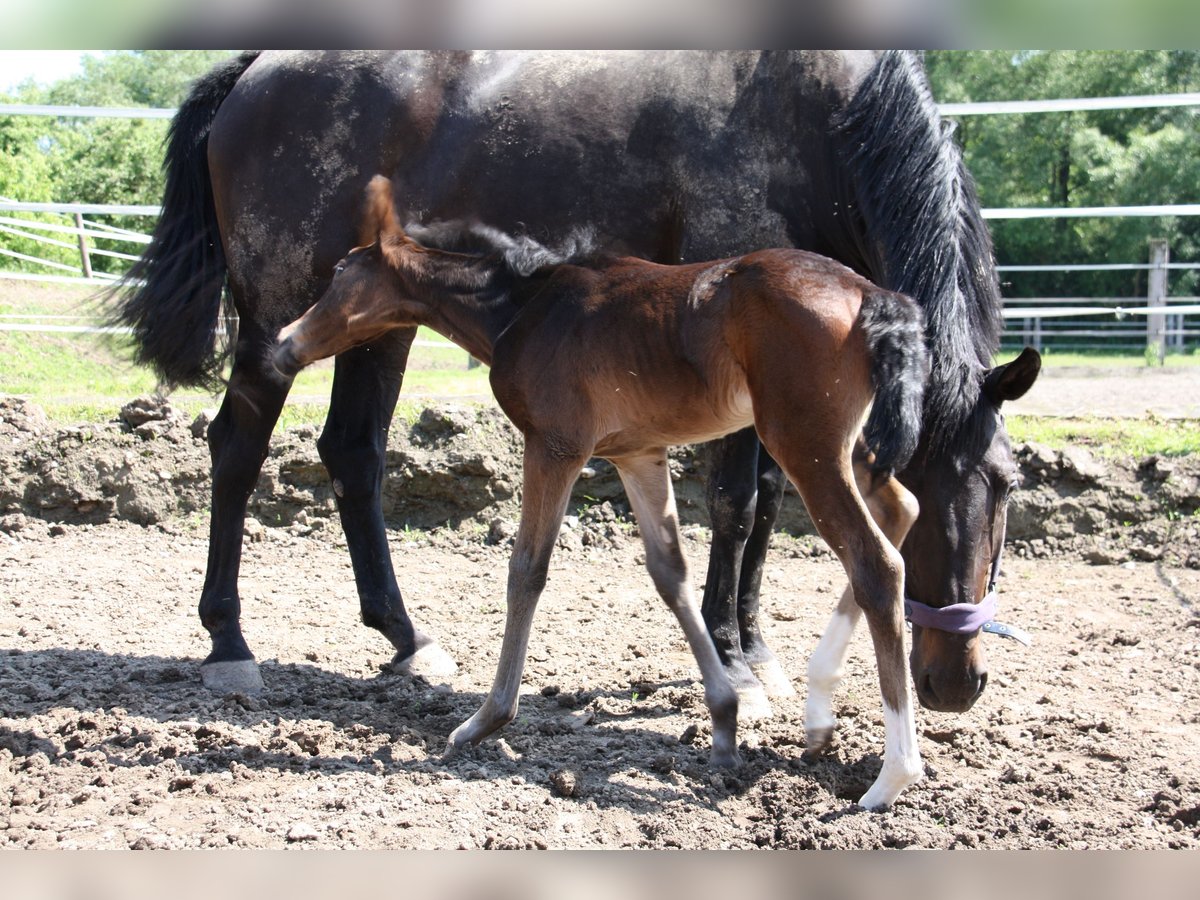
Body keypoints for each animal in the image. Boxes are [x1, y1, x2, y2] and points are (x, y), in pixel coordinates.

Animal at [276, 177, 931, 811]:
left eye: (340, 272)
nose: (284, 342)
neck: (524, 306)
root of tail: (871, 296)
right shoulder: (637, 453)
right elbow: (669, 573)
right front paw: (724, 725)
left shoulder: (555, 446)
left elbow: (527, 569)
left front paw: (485, 721)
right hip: (844, 444)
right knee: (902, 508)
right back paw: (819, 714)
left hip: (803, 443)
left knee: (876, 563)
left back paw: (892, 776)